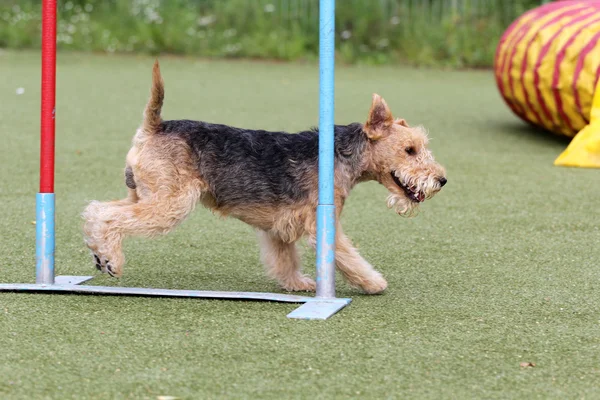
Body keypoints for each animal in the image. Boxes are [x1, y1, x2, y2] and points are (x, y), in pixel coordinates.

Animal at [83, 62, 446, 294]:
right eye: (410, 150)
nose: (441, 180)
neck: (341, 155)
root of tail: (155, 127)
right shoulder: (322, 222)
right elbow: (346, 255)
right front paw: (373, 283)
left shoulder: (280, 227)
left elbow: (285, 260)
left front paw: (298, 284)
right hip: (168, 204)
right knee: (108, 215)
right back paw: (112, 260)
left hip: (144, 195)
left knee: (95, 209)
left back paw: (100, 255)